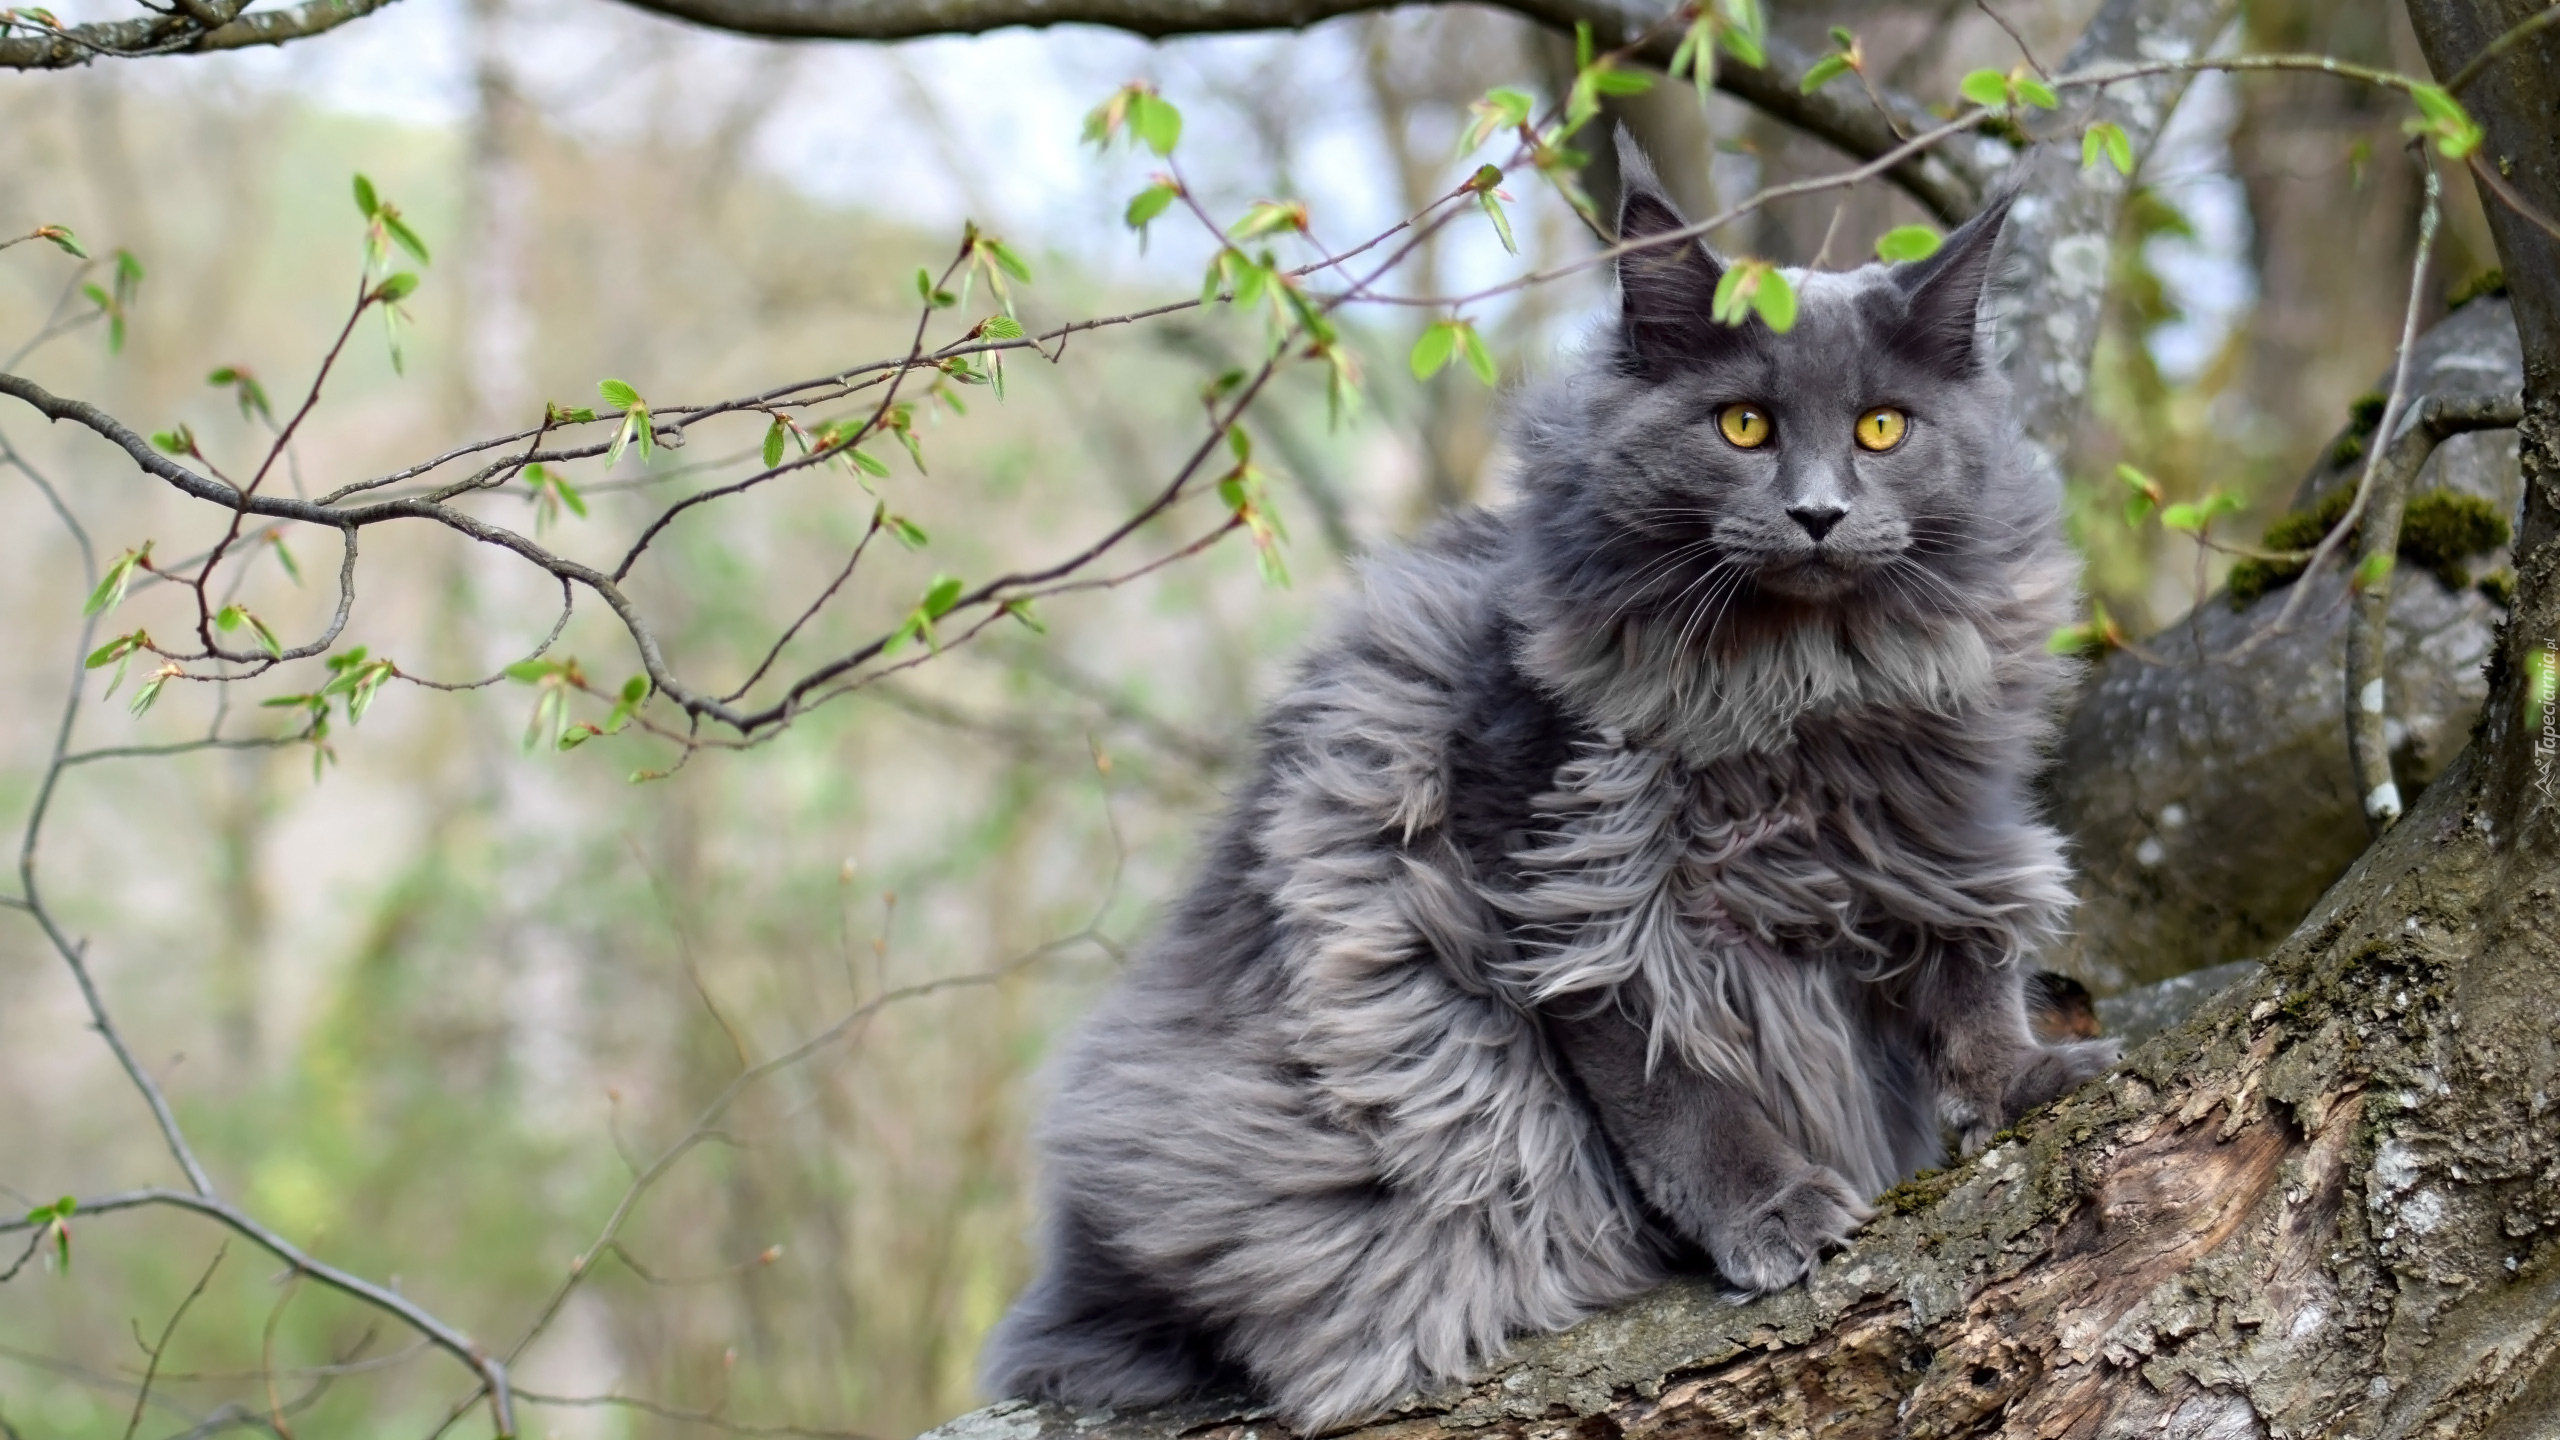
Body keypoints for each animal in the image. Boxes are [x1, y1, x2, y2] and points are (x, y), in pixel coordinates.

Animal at [977, 146, 2119, 1424]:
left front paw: (2028, 1078)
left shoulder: (1930, 840)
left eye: (1882, 429)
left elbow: (1970, 982)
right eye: (1741, 424)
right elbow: (1679, 1092)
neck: (1798, 692)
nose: (1819, 513)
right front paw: (1769, 1210)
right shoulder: (1572, 895)